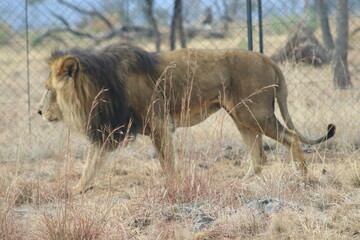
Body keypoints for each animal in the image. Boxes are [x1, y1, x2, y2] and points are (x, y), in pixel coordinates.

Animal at [38, 42, 336, 193]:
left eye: (48, 89)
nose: (39, 111)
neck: (101, 84)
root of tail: (268, 59)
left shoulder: (158, 123)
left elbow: (167, 162)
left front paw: (171, 186)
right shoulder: (108, 129)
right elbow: (91, 162)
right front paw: (77, 188)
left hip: (254, 112)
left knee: (292, 136)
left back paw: (302, 177)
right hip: (241, 115)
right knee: (259, 154)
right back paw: (244, 182)